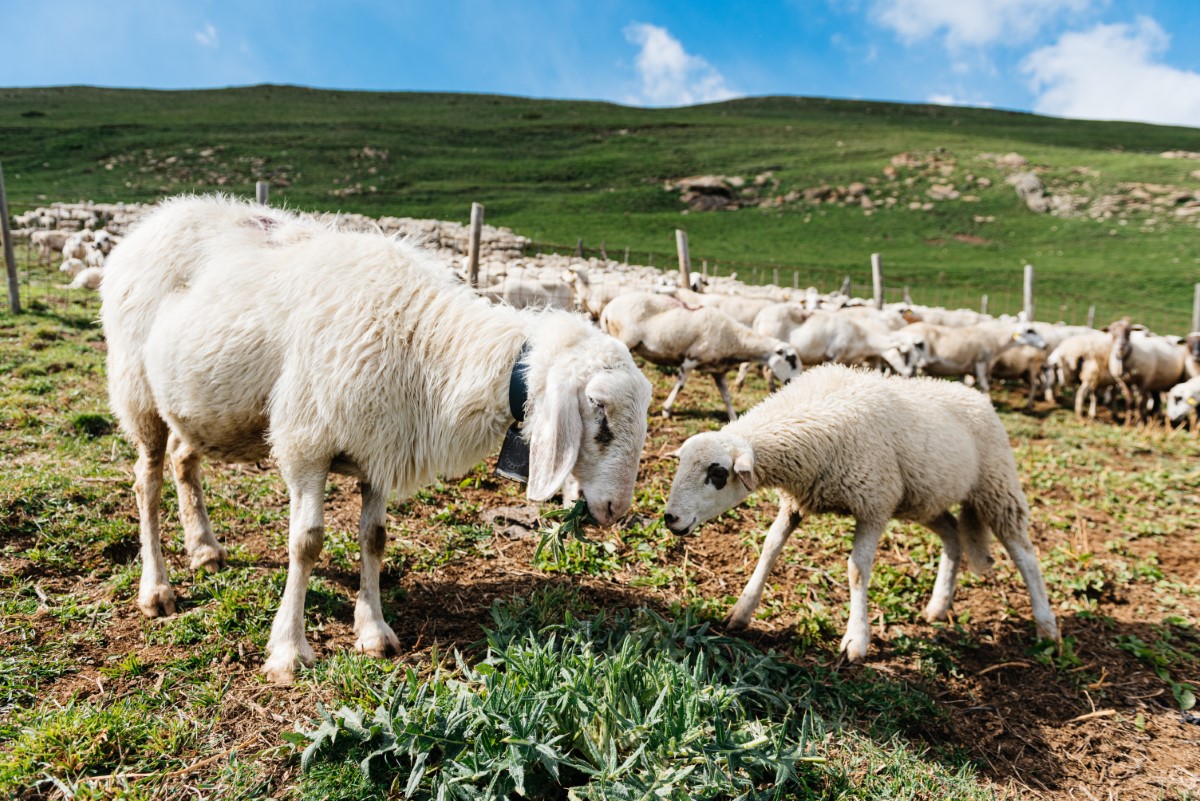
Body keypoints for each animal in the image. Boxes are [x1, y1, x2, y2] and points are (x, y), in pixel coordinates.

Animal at [98, 196, 652, 685]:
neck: (428, 343)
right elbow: (306, 542)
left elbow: (375, 538)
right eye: (599, 409)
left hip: (197, 406)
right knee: (146, 483)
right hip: (138, 393)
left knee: (183, 459)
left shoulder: (380, 448)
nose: (616, 510)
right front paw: (289, 650)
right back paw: (157, 588)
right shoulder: (306, 442)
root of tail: (158, 216)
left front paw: (374, 630)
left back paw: (205, 549)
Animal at [597, 291, 796, 422]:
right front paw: (666, 410)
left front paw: (733, 418)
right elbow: (680, 385)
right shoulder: (691, 359)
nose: (792, 382)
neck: (735, 339)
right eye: (791, 359)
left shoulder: (718, 371)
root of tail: (608, 309)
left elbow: (727, 396)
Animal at [662, 362, 1065, 661]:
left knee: (1025, 555)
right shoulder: (797, 503)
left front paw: (857, 639)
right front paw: (741, 611)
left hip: (996, 486)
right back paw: (938, 606)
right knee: (952, 533)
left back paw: (1047, 628)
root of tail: (976, 395)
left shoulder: (874, 504)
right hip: (924, 499)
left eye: (717, 474)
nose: (671, 518)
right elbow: (770, 547)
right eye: (680, 466)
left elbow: (857, 570)